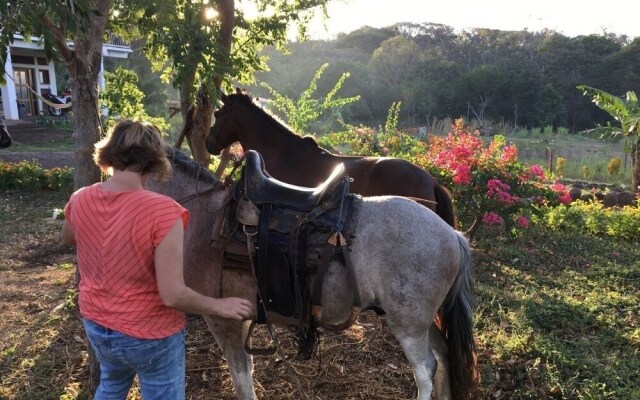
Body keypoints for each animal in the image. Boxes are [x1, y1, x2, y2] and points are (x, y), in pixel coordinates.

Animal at [145, 148, 476, 400]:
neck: (206, 220)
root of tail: (453, 235)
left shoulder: (222, 319)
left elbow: (241, 379)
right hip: (424, 321)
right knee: (444, 358)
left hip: (408, 325)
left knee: (426, 373)